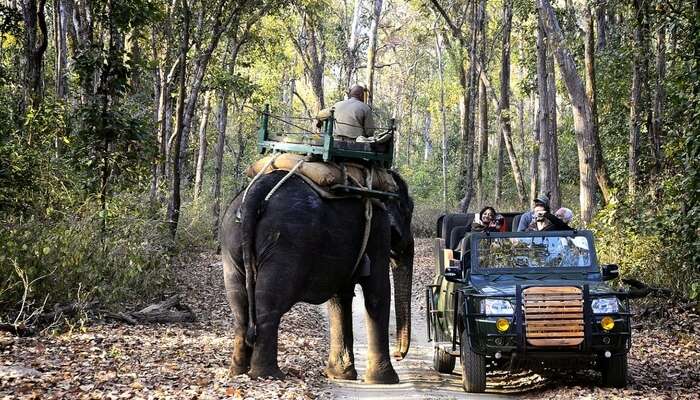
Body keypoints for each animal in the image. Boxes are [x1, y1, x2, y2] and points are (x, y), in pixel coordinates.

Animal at [221, 167, 412, 382]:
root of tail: (257, 191)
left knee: (240, 306)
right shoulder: (378, 227)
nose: (399, 354)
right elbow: (378, 291)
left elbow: (340, 296)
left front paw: (340, 375)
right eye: (408, 212)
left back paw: (238, 371)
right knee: (269, 305)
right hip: (287, 244)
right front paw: (385, 380)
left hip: (231, 243)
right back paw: (268, 375)